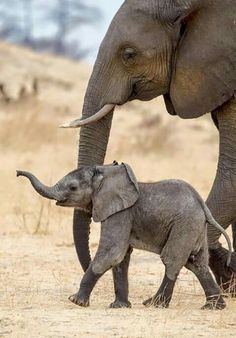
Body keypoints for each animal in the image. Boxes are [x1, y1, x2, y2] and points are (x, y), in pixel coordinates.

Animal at [17, 162, 232, 310]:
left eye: (73, 188)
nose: (18, 172)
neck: (105, 173)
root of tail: (203, 208)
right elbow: (121, 258)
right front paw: (119, 307)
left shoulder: (120, 214)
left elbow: (112, 253)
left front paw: (76, 301)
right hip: (194, 227)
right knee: (196, 263)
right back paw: (213, 307)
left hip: (184, 225)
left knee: (171, 260)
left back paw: (154, 304)